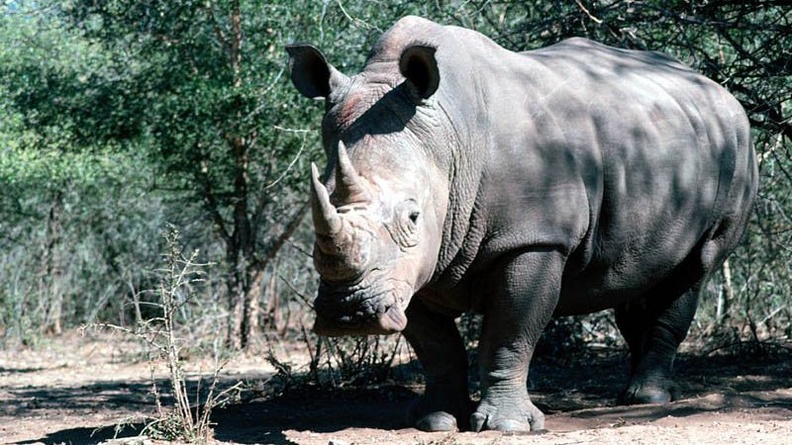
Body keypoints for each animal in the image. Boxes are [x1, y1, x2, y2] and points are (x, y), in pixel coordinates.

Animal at [286, 16, 757, 432]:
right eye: (321, 200)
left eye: (413, 217)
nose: (349, 313)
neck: (448, 143)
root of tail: (726, 95)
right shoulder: (411, 266)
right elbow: (436, 344)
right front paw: (435, 421)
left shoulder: (534, 238)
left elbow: (510, 330)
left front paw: (506, 426)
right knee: (636, 273)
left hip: (737, 148)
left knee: (695, 267)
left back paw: (647, 398)